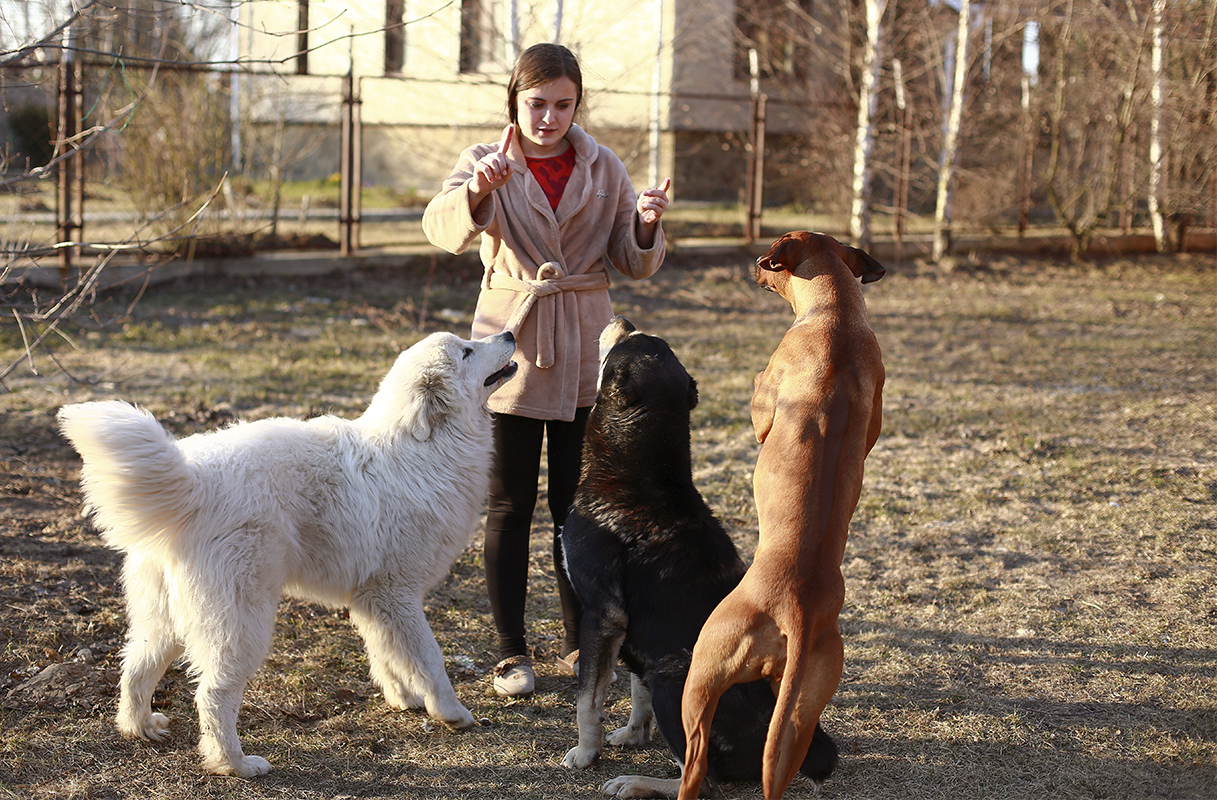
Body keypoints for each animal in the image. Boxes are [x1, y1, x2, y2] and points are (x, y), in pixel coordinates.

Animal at [55, 328, 518, 774]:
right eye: (466, 351)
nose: (511, 334)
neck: (421, 447)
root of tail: (195, 482)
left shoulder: (373, 599)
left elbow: (387, 655)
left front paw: (404, 698)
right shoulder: (396, 593)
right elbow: (430, 659)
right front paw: (451, 712)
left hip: (164, 618)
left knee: (136, 668)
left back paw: (141, 727)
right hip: (242, 621)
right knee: (213, 694)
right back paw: (235, 764)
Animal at [559, 319, 837, 798]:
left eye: (626, 342)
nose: (625, 321)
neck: (639, 473)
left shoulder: (601, 615)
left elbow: (587, 698)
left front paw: (585, 753)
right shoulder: (638, 641)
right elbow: (636, 691)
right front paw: (634, 735)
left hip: (676, 682)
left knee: (700, 780)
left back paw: (636, 782)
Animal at [676, 231, 885, 798]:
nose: (750, 264)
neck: (835, 317)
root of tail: (798, 608)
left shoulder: (768, 398)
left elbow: (758, 400)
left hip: (702, 673)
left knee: (695, 761)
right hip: (801, 712)